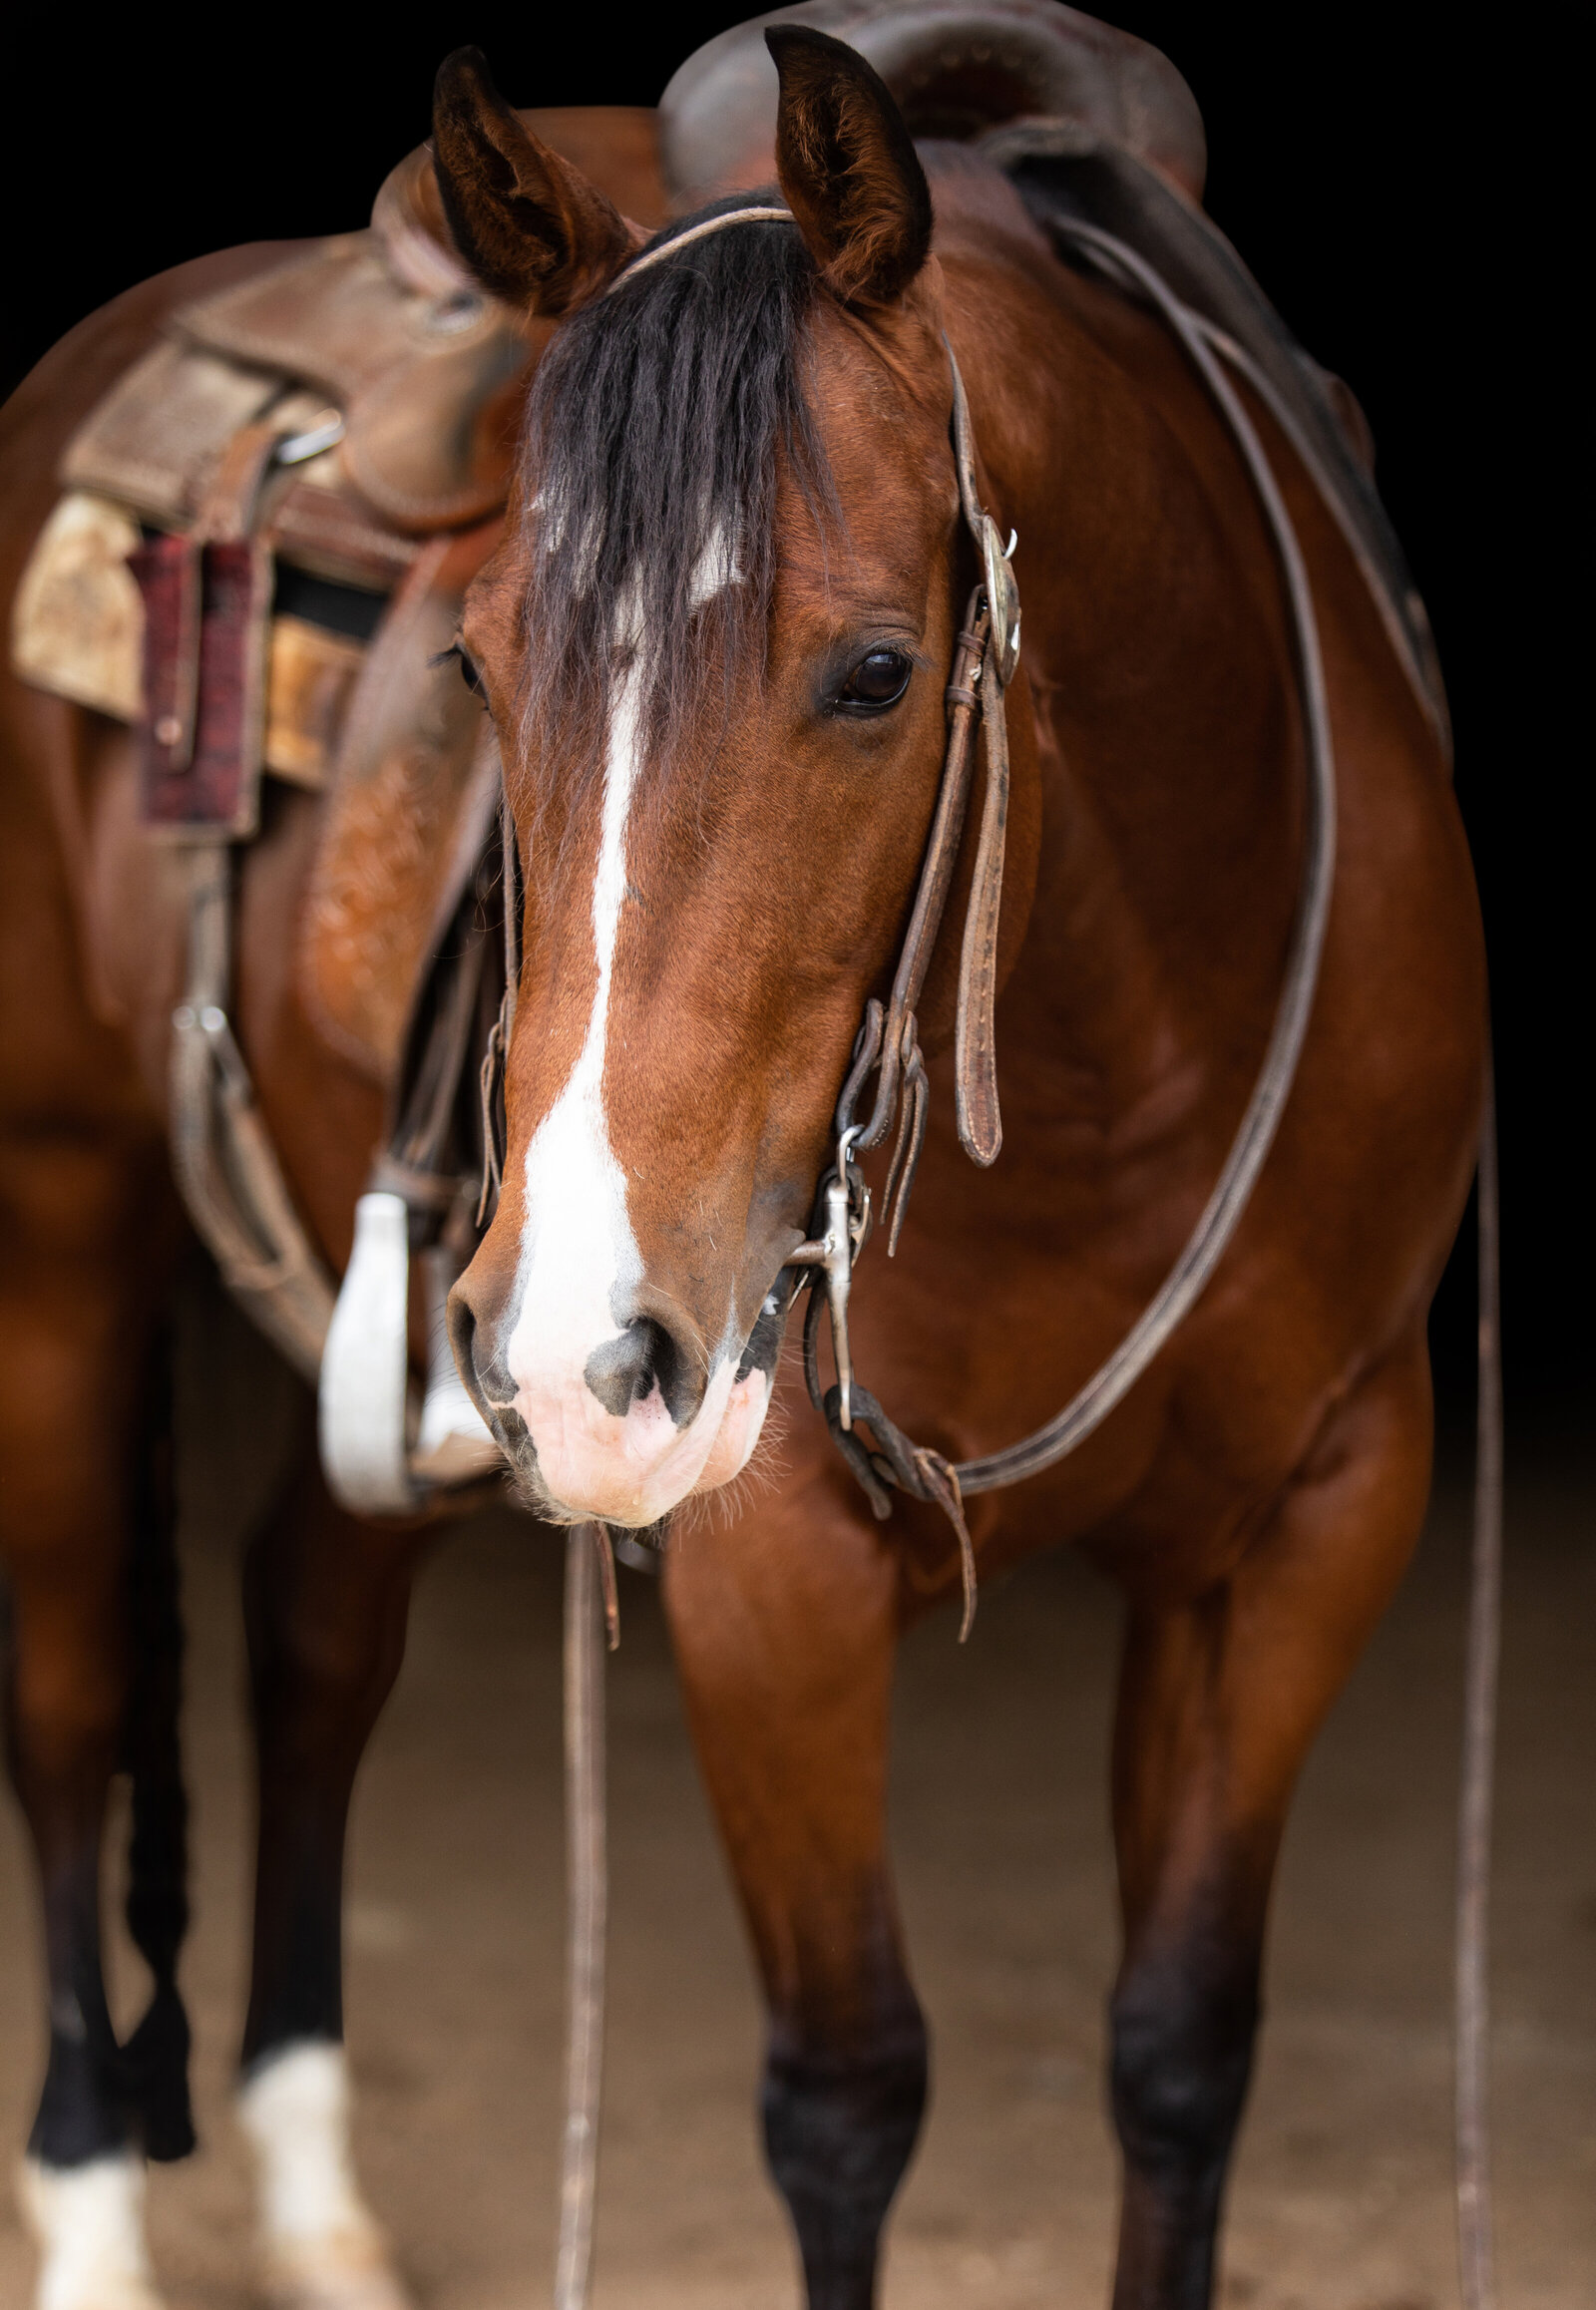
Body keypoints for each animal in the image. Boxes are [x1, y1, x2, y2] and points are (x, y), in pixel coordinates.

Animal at [3, 18, 1487, 2310]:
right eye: (477, 665)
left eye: (878, 672)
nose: (583, 1350)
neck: (1121, 1060)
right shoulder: (770, 1557)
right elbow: (847, 2095)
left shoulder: (1316, 1515)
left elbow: (1178, 2054)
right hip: (69, 1216)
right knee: (72, 1685)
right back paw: (89, 2210)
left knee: (311, 1642)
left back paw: (319, 2208)